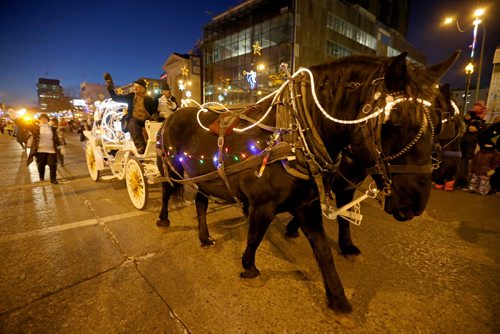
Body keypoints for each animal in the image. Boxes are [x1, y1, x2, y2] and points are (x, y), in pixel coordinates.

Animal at [155, 51, 458, 326]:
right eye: (393, 124)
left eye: (437, 120)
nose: (414, 204)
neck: (292, 134)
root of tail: (176, 114)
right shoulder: (263, 204)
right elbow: (255, 236)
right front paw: (249, 267)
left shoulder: (306, 201)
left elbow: (323, 249)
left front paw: (338, 299)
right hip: (171, 166)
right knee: (169, 192)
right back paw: (163, 220)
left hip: (204, 176)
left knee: (201, 202)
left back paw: (205, 237)